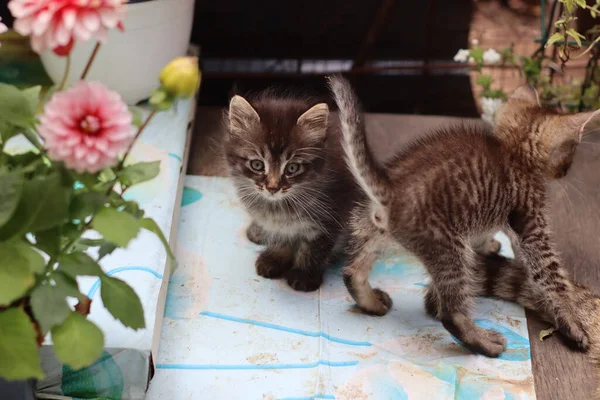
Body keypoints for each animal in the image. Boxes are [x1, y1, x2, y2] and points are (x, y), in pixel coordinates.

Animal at [224, 90, 356, 290]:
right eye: (257, 165)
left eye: (292, 168)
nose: (272, 187)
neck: (277, 207)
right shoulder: (274, 222)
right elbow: (280, 238)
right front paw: (275, 258)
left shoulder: (330, 217)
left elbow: (314, 249)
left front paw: (304, 274)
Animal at [328, 75, 600, 356]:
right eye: (571, 151)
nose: (566, 171)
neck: (512, 150)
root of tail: (392, 191)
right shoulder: (531, 221)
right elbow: (552, 278)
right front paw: (572, 321)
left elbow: (490, 233)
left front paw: (489, 244)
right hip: (448, 249)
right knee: (451, 313)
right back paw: (483, 341)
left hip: (371, 229)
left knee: (352, 271)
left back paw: (370, 301)